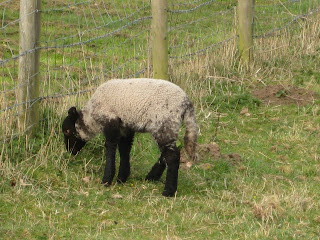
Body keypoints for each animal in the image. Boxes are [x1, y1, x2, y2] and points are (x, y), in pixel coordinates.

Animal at [62, 79, 198, 197]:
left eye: (67, 131)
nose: (70, 151)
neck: (91, 116)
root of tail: (186, 103)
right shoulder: (125, 127)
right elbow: (124, 149)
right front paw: (122, 178)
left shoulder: (111, 122)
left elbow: (110, 149)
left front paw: (106, 180)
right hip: (168, 127)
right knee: (168, 153)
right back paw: (151, 177)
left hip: (163, 123)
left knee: (172, 156)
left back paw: (168, 191)